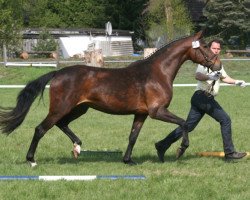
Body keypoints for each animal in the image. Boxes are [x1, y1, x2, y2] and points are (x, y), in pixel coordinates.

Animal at [0, 30, 222, 166]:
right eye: (204, 46)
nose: (218, 66)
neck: (157, 72)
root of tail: (58, 73)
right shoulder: (157, 111)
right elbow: (184, 123)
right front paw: (180, 150)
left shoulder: (141, 114)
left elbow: (133, 136)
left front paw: (128, 160)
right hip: (61, 108)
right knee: (41, 129)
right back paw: (32, 160)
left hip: (79, 108)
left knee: (61, 124)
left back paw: (77, 147)